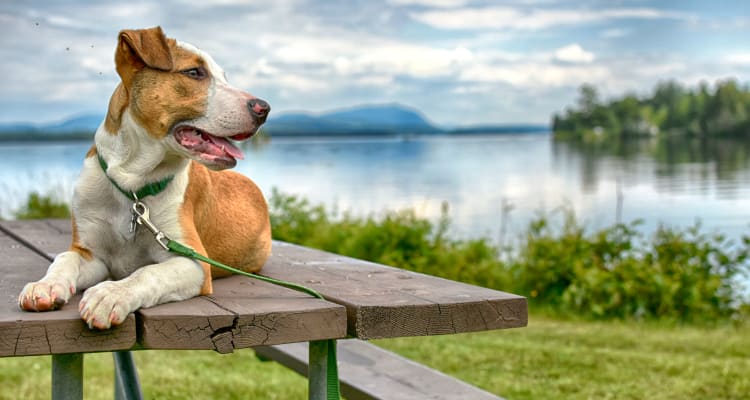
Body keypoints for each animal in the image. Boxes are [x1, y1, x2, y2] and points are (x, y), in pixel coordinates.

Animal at [16, 26, 274, 330]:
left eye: (223, 76)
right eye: (194, 72)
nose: (264, 108)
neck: (133, 185)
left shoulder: (194, 262)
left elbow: (148, 273)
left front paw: (110, 294)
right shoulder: (92, 254)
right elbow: (65, 257)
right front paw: (45, 286)